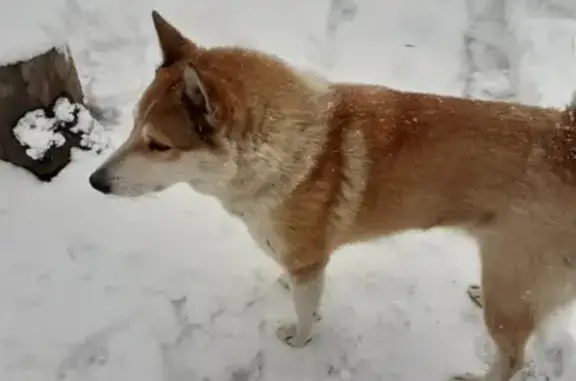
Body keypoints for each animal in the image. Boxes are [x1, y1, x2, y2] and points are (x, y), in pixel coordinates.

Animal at [86, 11, 576, 380]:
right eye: (133, 125)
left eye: (158, 145)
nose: (94, 182)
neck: (290, 144)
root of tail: (566, 139)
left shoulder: (308, 261)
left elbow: (305, 314)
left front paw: (299, 340)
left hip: (508, 292)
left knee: (513, 359)